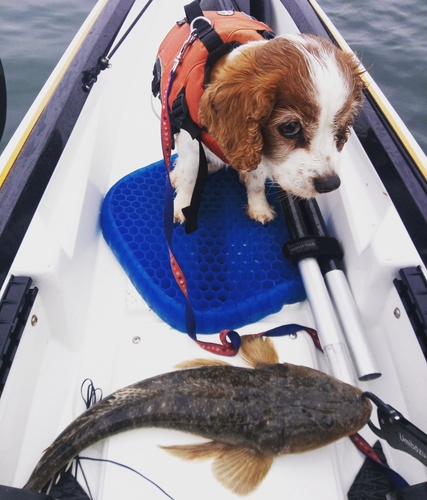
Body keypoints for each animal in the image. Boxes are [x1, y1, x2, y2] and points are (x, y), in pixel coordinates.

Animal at [171, 32, 364, 224]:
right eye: (290, 127)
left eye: (339, 127)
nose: (330, 184)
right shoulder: (190, 147)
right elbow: (189, 178)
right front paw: (182, 205)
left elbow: (257, 184)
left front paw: (259, 207)